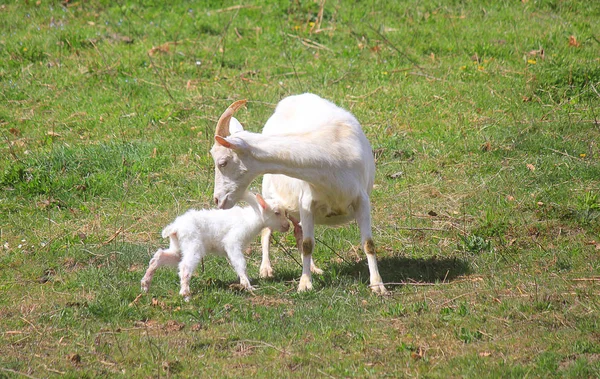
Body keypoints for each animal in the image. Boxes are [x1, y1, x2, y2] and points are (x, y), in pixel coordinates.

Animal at [211, 93, 386, 294]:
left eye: (222, 162)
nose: (217, 199)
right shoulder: (307, 201)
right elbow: (308, 244)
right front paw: (304, 284)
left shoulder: (361, 199)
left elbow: (368, 244)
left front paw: (378, 285)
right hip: (270, 194)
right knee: (267, 230)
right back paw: (266, 269)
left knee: (298, 231)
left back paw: (313, 268)